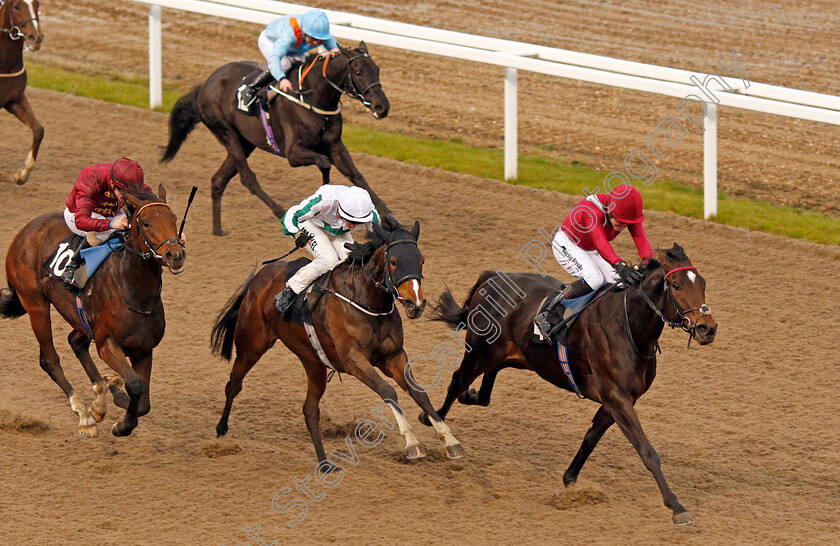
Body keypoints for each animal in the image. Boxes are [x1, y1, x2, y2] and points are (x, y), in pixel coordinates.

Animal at [0, 185, 187, 436]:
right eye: (146, 223)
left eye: (174, 219)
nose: (175, 255)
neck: (133, 292)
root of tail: (25, 231)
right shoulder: (107, 344)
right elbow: (135, 385)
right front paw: (121, 424)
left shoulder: (143, 349)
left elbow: (143, 402)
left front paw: (114, 391)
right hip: (35, 304)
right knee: (49, 360)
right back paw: (84, 414)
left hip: (79, 317)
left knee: (75, 341)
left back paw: (98, 402)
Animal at [162, 41, 392, 237]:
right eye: (358, 72)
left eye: (377, 69)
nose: (382, 106)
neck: (313, 98)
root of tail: (206, 84)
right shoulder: (293, 153)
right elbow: (324, 163)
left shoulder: (335, 146)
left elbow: (357, 176)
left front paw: (389, 219)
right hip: (226, 132)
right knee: (247, 178)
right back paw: (278, 210)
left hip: (246, 141)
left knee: (218, 179)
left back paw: (218, 230)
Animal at [210, 219, 462, 466]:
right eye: (393, 261)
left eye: (421, 261)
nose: (415, 303)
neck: (367, 301)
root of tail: (259, 278)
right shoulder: (353, 359)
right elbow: (387, 390)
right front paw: (412, 443)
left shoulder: (394, 356)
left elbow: (418, 392)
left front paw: (450, 440)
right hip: (251, 346)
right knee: (234, 384)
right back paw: (221, 430)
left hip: (313, 362)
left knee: (310, 409)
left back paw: (325, 464)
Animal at [424, 243, 720, 524]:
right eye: (677, 285)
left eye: (703, 284)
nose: (708, 329)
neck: (628, 327)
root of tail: (493, 278)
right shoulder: (617, 398)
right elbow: (647, 451)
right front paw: (677, 507)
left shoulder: (616, 401)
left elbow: (590, 439)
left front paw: (570, 480)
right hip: (480, 351)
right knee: (456, 381)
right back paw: (436, 424)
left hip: (516, 356)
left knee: (483, 388)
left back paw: (470, 396)